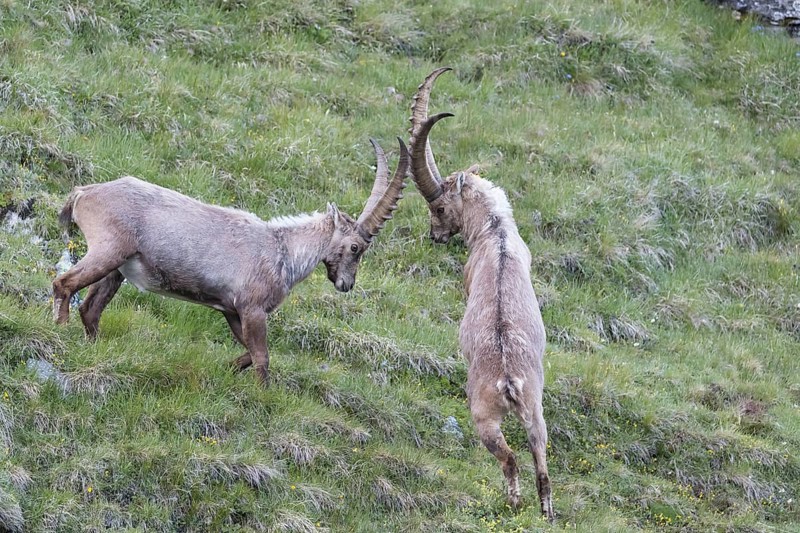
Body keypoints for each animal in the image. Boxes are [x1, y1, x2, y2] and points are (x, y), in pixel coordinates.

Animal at [53, 138, 409, 386]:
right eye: (355, 247)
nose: (346, 284)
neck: (283, 251)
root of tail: (84, 192)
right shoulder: (252, 309)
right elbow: (262, 356)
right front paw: (262, 397)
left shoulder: (231, 311)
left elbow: (249, 354)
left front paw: (225, 369)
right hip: (108, 250)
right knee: (63, 283)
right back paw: (60, 330)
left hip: (118, 267)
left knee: (91, 308)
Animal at [408, 68, 554, 520]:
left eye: (439, 208)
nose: (435, 236)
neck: (496, 231)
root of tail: (508, 381)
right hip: (536, 411)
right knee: (541, 457)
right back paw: (546, 512)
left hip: (483, 416)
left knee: (508, 457)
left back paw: (512, 502)